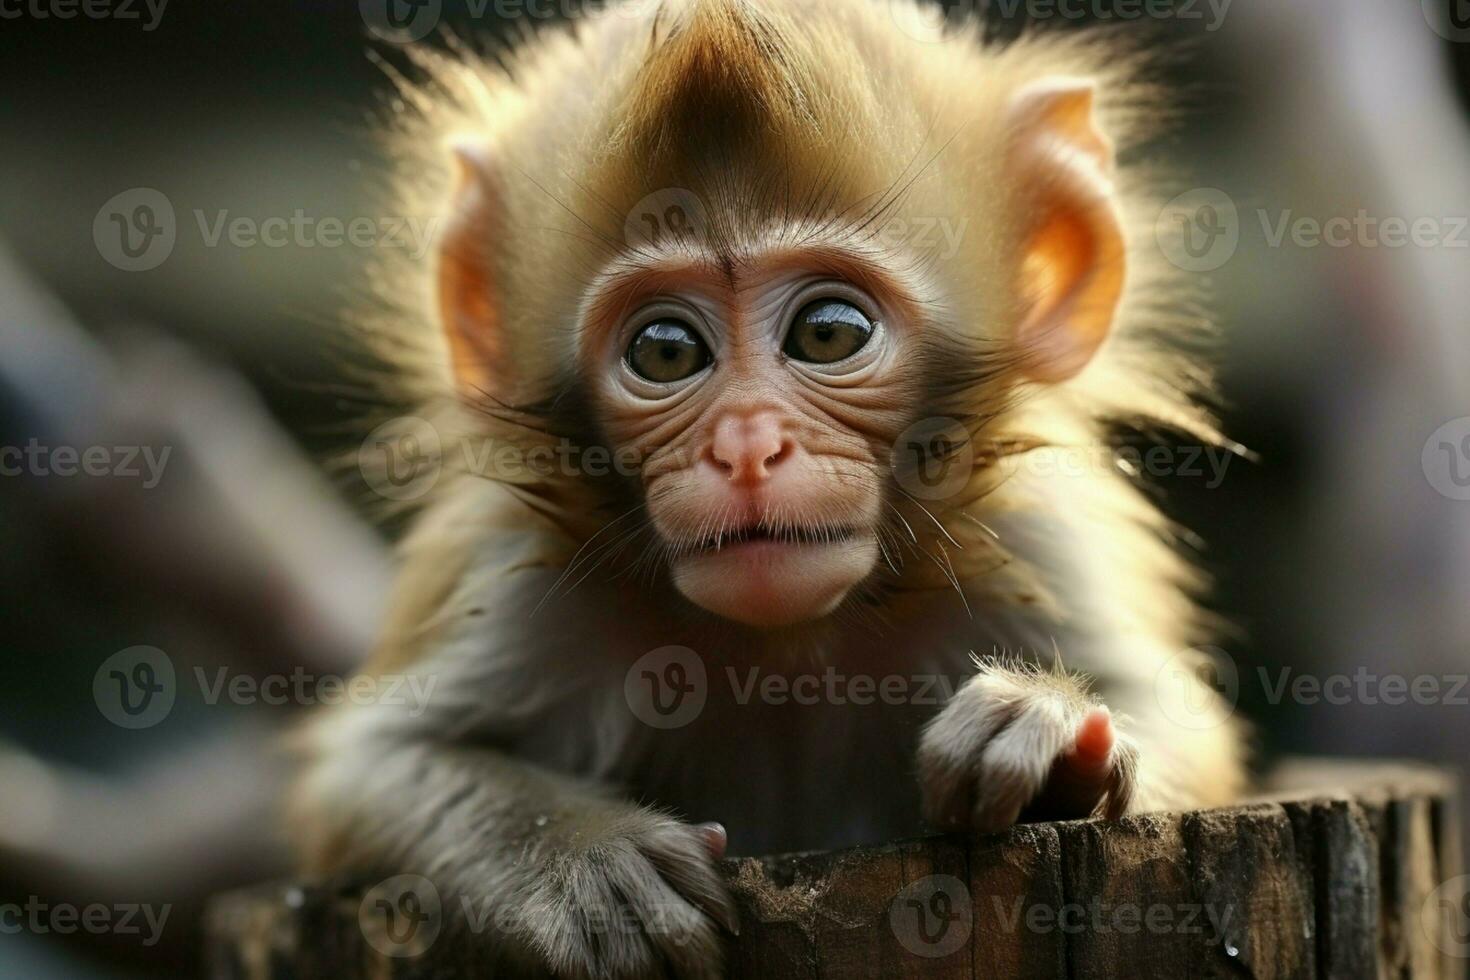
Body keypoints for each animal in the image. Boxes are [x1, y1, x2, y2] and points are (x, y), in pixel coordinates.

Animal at [292, 0, 1246, 975]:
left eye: (829, 333)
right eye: (665, 351)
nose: (747, 449)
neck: (785, 644)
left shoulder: (1036, 534)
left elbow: (1187, 727)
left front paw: (1050, 735)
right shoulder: (516, 569)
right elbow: (360, 776)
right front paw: (580, 861)